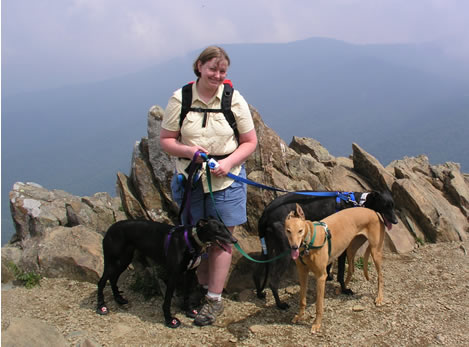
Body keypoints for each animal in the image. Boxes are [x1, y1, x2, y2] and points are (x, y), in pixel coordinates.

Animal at [95, 218, 236, 328]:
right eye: (217, 229)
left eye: (225, 227)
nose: (234, 240)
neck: (190, 240)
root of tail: (110, 228)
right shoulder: (173, 275)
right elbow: (167, 301)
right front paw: (170, 320)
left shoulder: (190, 273)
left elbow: (186, 294)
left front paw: (189, 310)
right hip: (112, 261)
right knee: (101, 281)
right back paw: (101, 306)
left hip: (123, 260)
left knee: (113, 279)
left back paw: (118, 299)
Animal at [254, 190, 396, 310]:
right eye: (386, 205)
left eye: (393, 205)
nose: (395, 221)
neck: (356, 202)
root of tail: (265, 213)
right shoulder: (343, 249)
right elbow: (341, 273)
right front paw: (344, 289)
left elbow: (329, 265)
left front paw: (329, 276)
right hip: (287, 250)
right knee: (273, 281)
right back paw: (280, 305)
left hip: (268, 247)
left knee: (258, 271)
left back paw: (260, 293)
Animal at [284, 204, 396, 334]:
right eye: (288, 231)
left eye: (300, 230)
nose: (294, 247)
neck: (309, 242)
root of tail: (374, 212)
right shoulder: (302, 273)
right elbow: (302, 300)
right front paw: (299, 316)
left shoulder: (321, 276)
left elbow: (319, 305)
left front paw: (317, 324)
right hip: (350, 249)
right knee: (351, 269)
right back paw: (343, 288)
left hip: (375, 251)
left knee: (380, 276)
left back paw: (379, 298)